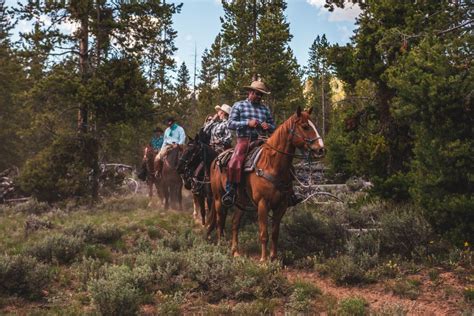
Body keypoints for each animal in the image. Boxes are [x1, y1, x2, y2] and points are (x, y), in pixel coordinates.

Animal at [209, 107, 324, 260]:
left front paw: (273, 258)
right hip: (218, 198)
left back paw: (235, 251)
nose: (321, 149)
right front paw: (263, 260)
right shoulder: (263, 204)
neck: (272, 164)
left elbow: (275, 233)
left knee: (234, 223)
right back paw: (220, 245)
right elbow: (264, 233)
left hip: (241, 201)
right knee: (220, 221)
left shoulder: (282, 205)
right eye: (305, 126)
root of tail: (217, 158)